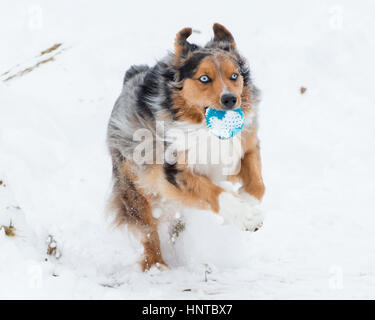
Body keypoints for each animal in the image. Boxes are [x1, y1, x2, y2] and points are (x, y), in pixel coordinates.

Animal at [106, 23, 266, 272]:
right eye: (204, 78)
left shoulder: (246, 145)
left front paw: (248, 203)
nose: (230, 99)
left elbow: (258, 184)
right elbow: (213, 192)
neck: (204, 127)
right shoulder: (173, 171)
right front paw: (244, 215)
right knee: (147, 230)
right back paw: (158, 266)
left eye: (234, 76)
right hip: (134, 185)